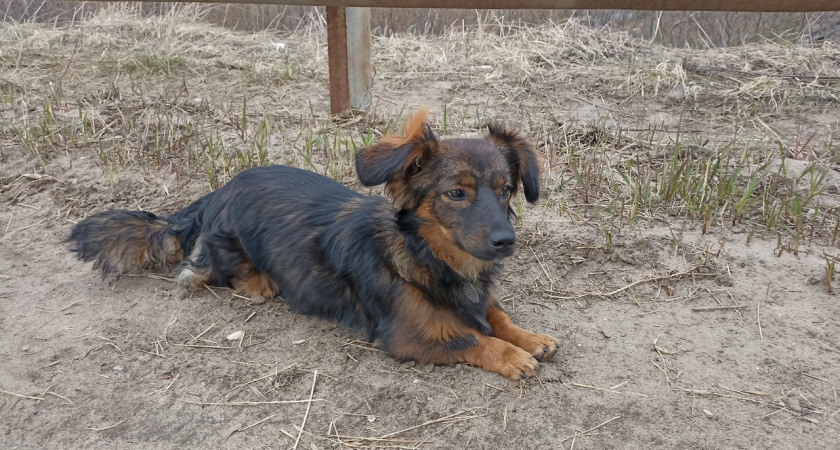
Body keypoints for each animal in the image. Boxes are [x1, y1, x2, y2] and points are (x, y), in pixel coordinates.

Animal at [67, 109, 556, 380]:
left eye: (506, 190)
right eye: (457, 193)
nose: (506, 240)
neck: (429, 256)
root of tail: (215, 194)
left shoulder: (476, 297)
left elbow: (495, 314)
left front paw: (528, 337)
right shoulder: (407, 336)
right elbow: (471, 338)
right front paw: (511, 354)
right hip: (227, 247)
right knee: (209, 272)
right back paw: (257, 283)